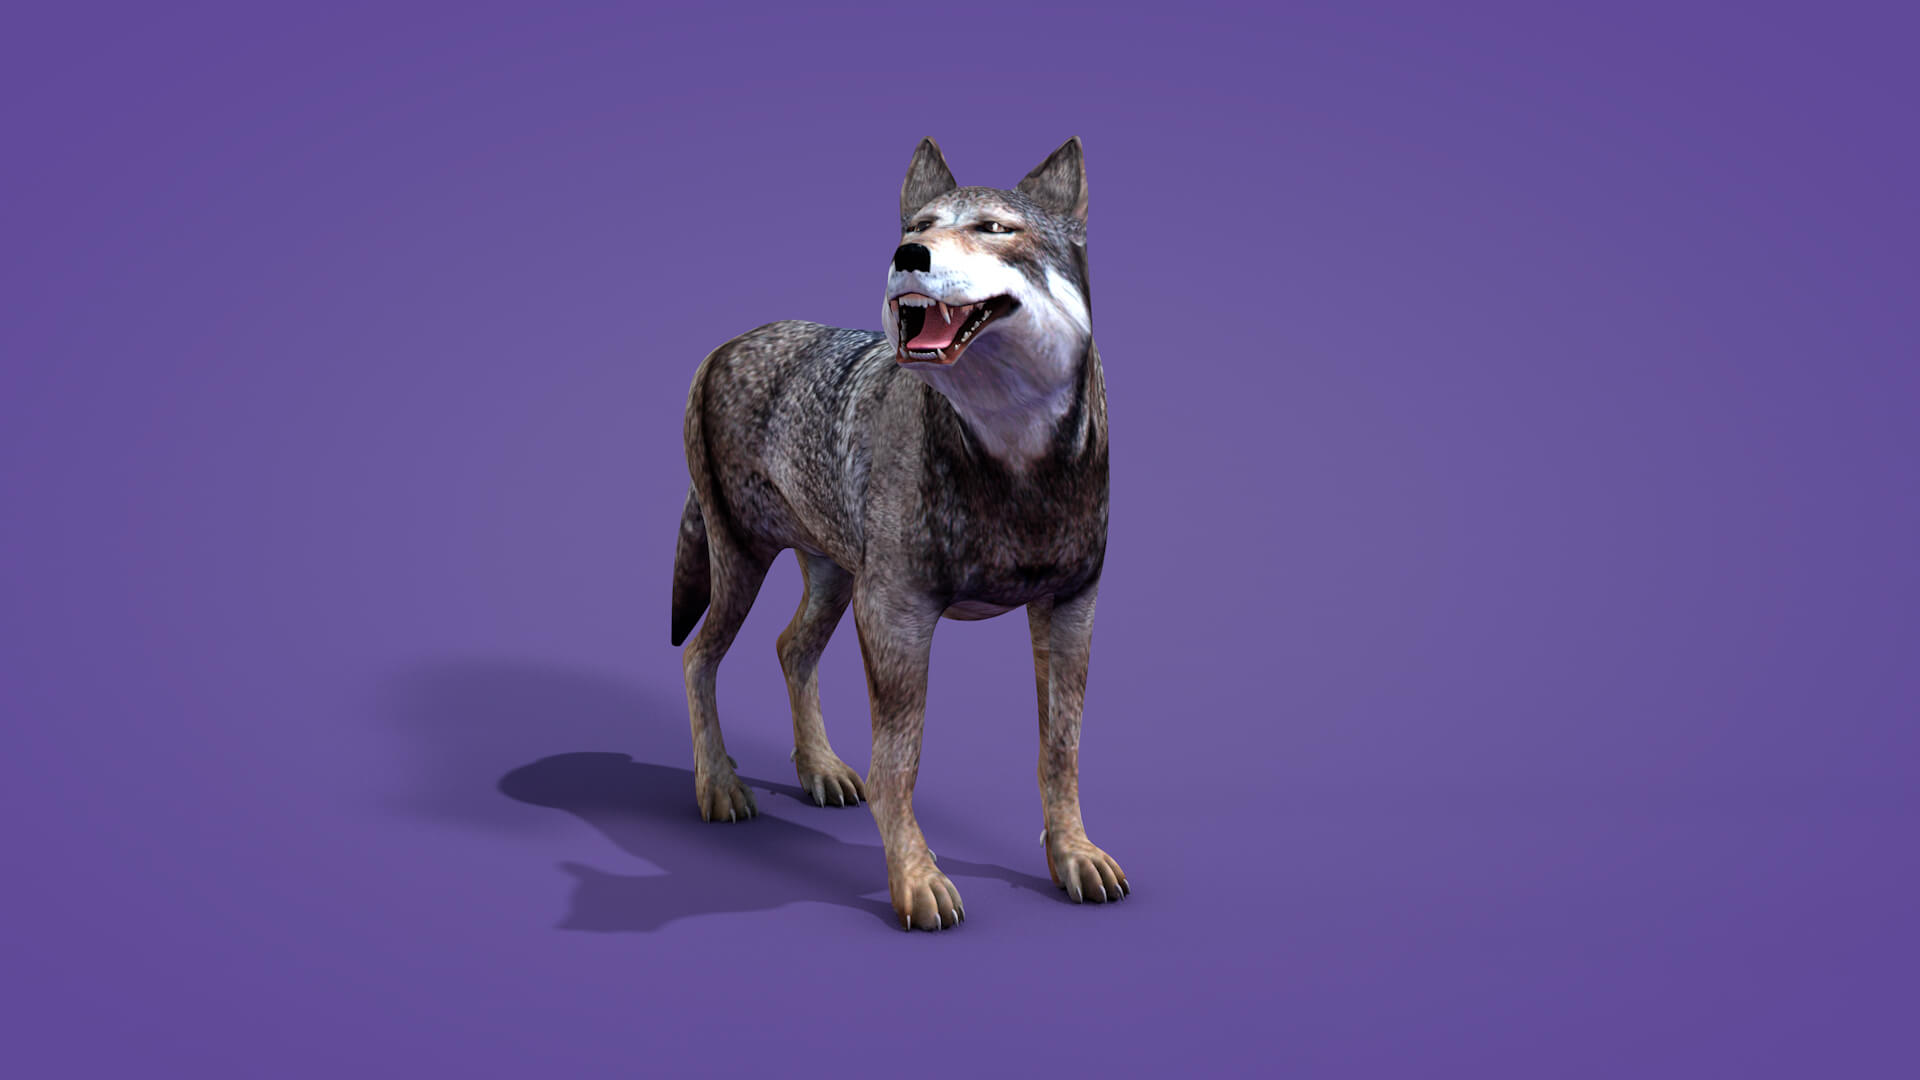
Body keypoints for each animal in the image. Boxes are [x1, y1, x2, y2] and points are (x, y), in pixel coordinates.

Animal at [667, 136, 1127, 931]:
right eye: (919, 224)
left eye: (995, 228)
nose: (906, 253)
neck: (1014, 458)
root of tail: (724, 345)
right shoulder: (897, 614)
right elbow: (899, 764)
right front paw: (915, 877)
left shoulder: (1072, 607)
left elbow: (1059, 751)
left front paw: (1073, 854)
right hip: (748, 566)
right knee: (700, 656)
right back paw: (718, 785)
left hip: (834, 578)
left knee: (789, 648)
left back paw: (818, 769)